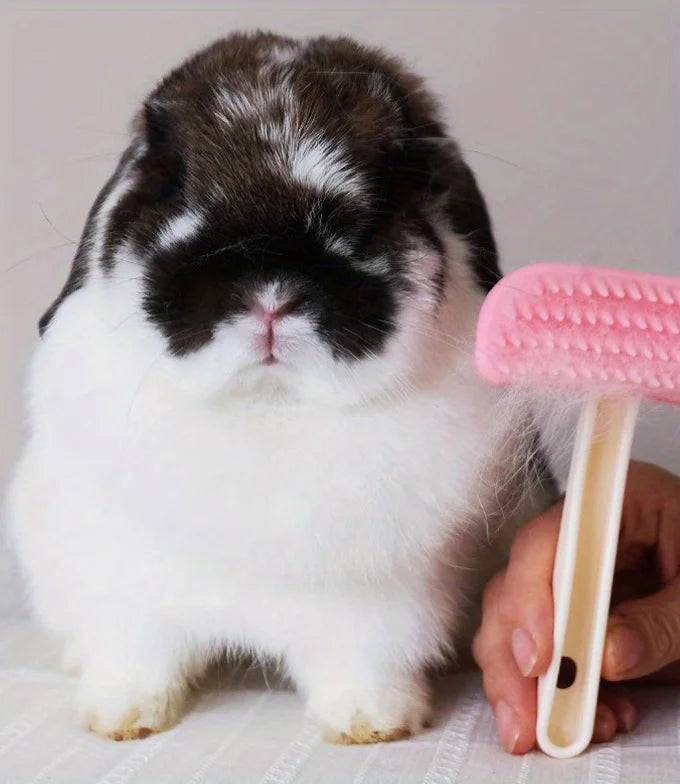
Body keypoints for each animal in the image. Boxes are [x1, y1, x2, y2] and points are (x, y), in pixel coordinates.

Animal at [5, 32, 555, 744]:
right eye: (174, 181)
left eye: (384, 191)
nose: (270, 295)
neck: (271, 410)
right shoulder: (130, 593)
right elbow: (137, 655)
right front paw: (123, 718)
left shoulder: (377, 606)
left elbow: (363, 660)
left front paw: (371, 723)